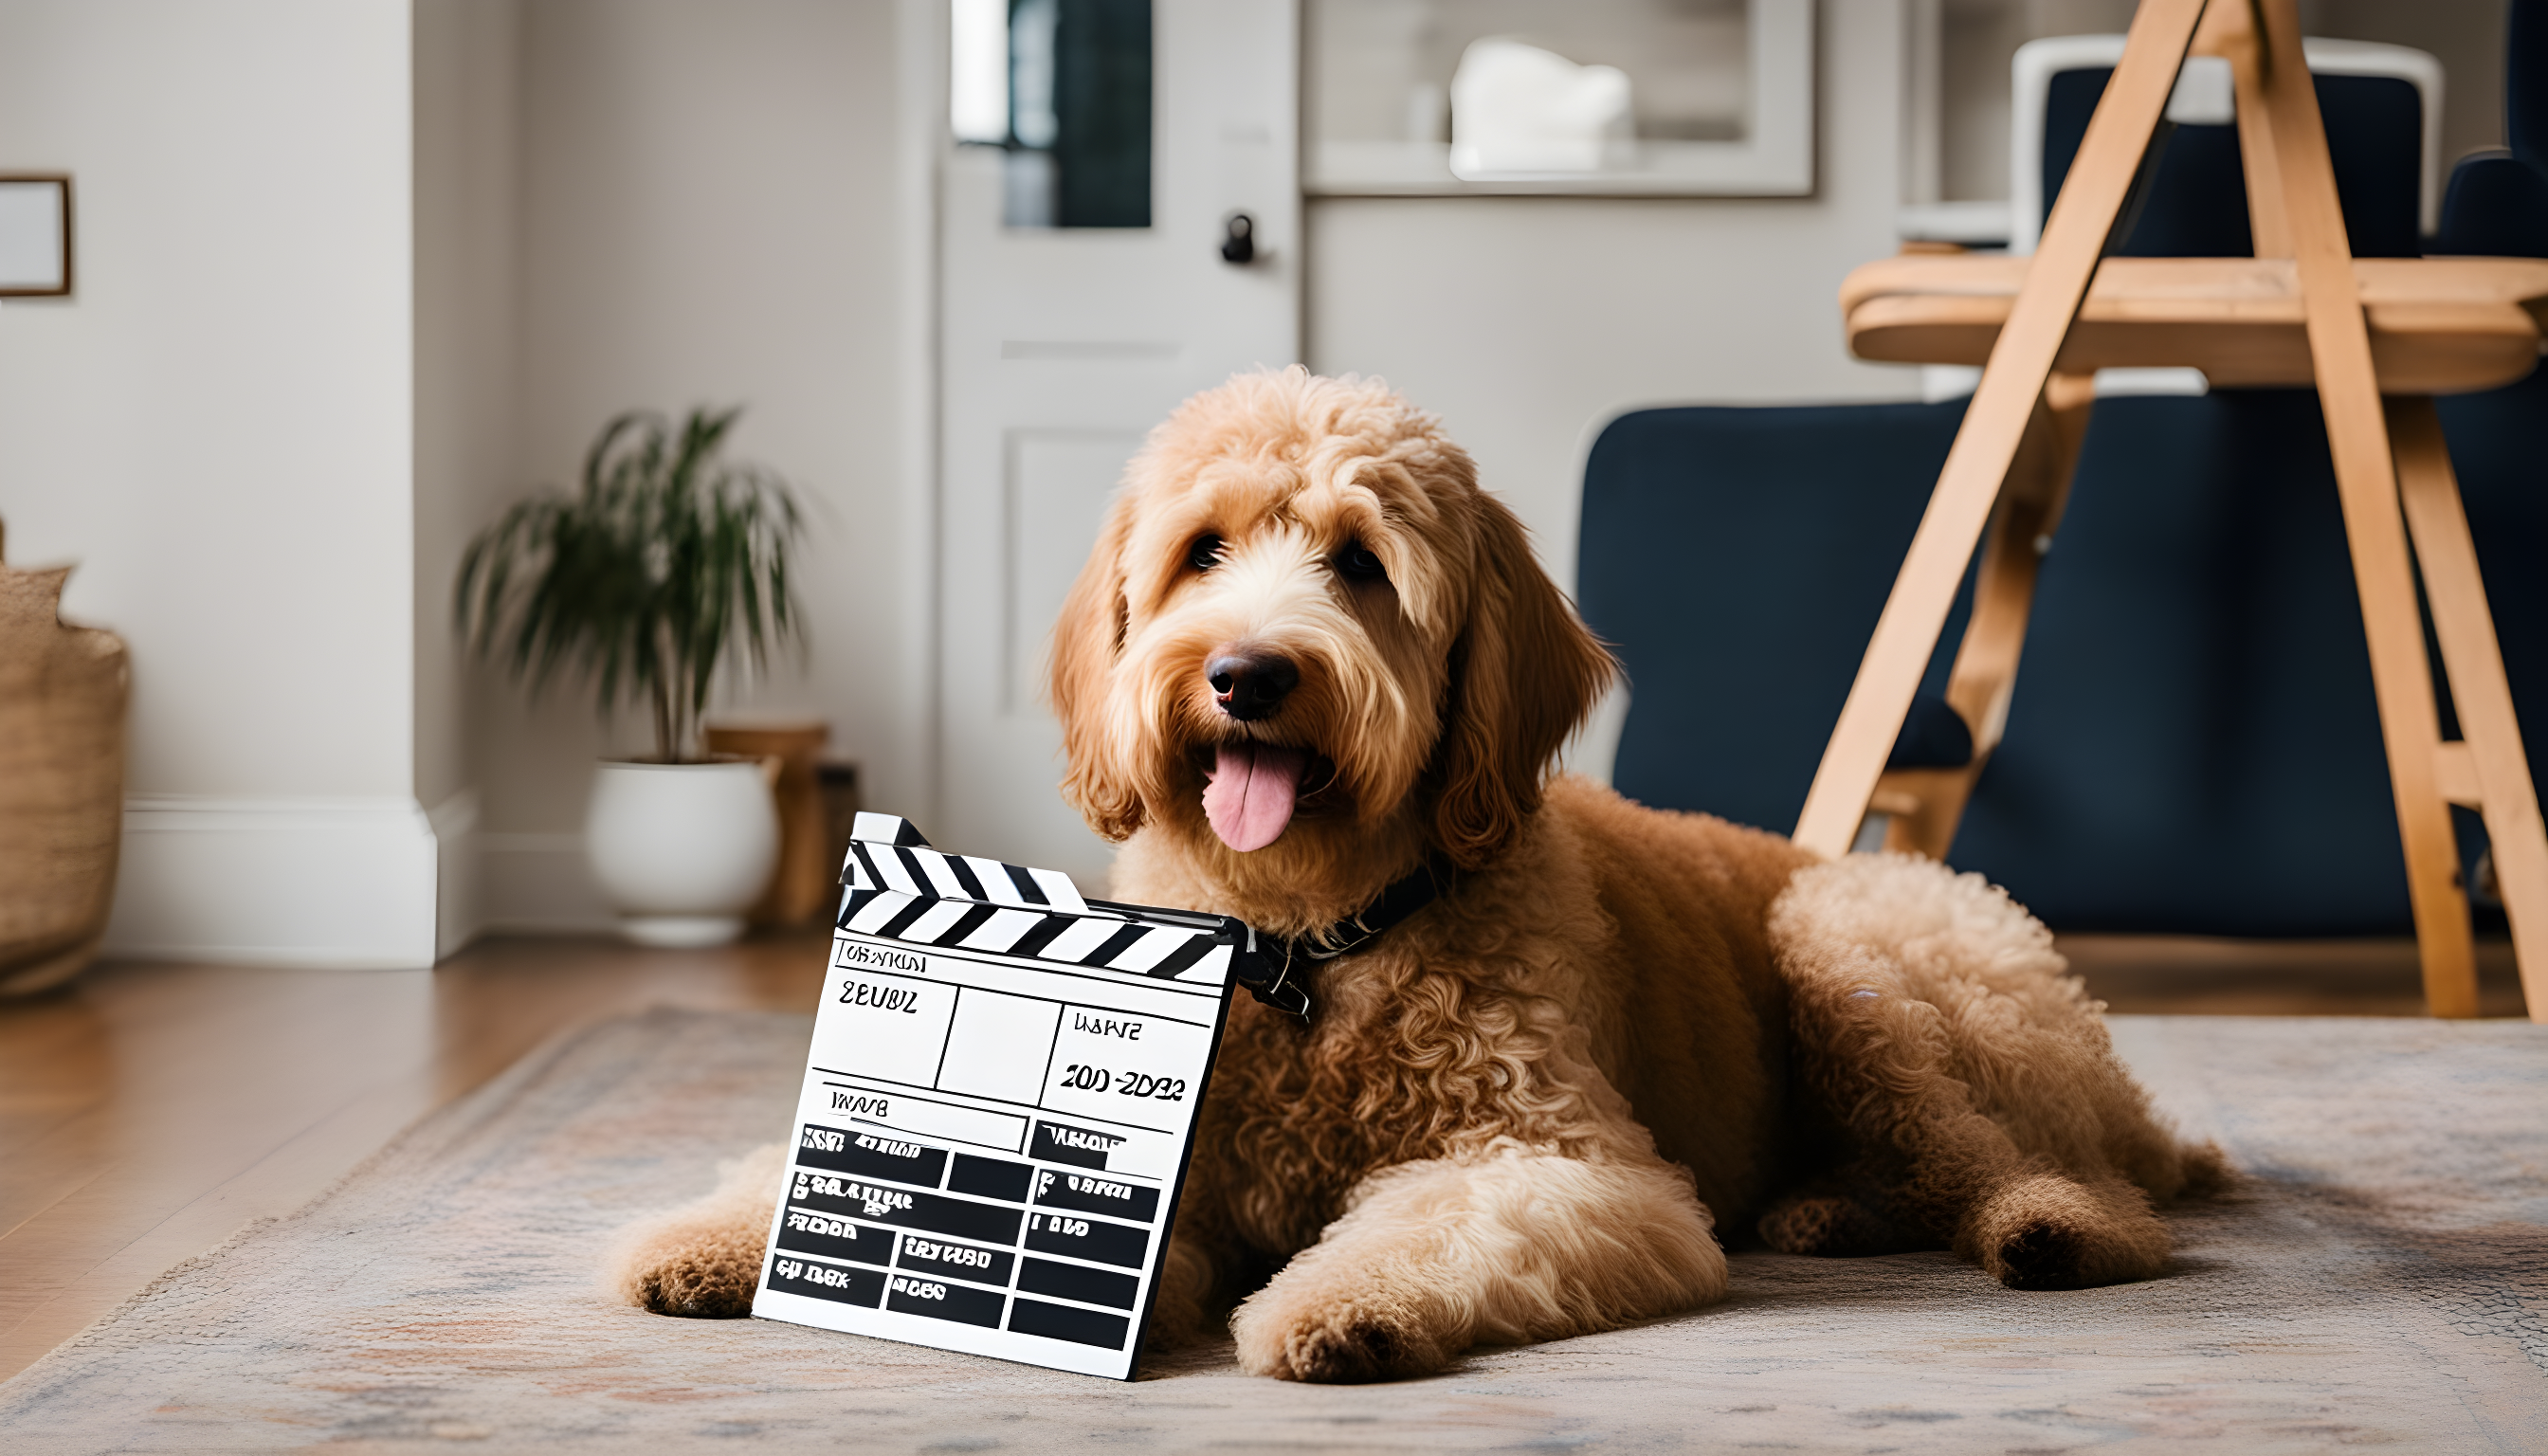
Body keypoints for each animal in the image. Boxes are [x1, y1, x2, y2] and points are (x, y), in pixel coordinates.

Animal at [606, 370, 2221, 1387]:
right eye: (1203, 552)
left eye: (1361, 565)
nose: (1249, 677)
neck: (1305, 941)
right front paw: (720, 1239)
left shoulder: (1561, 1161)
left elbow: (1447, 1222)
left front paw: (1343, 1307)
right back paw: (1823, 1212)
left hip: (1863, 949)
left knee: (2027, 1165)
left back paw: (2047, 1228)